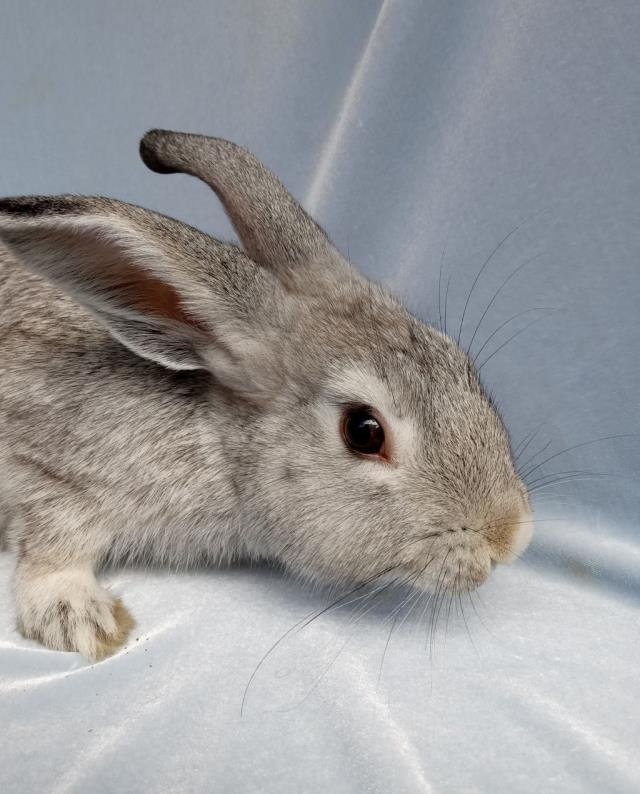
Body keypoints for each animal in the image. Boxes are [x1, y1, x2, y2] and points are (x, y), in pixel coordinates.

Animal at [0, 130, 532, 661]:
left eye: (459, 362)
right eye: (364, 432)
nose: (511, 536)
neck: (222, 447)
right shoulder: (56, 475)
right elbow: (49, 545)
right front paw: (85, 621)